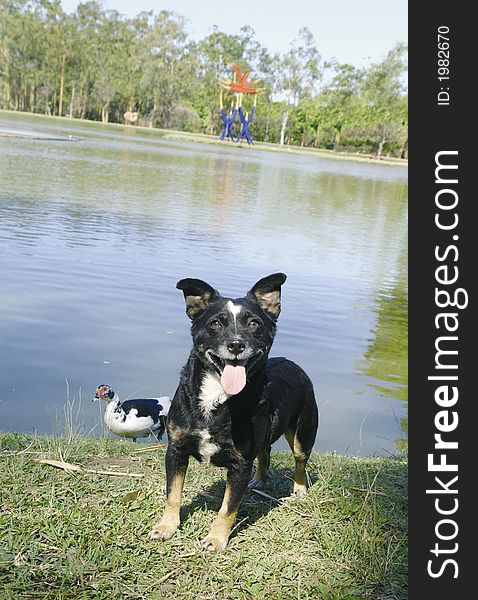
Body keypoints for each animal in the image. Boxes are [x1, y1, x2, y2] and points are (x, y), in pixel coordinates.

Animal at [150, 274, 318, 552]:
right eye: (216, 323)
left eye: (254, 323)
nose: (236, 344)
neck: (217, 397)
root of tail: (293, 363)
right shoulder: (176, 450)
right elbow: (172, 494)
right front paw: (166, 527)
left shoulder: (240, 463)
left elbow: (228, 507)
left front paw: (215, 539)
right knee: (265, 452)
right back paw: (259, 480)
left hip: (304, 432)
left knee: (300, 460)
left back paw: (299, 488)